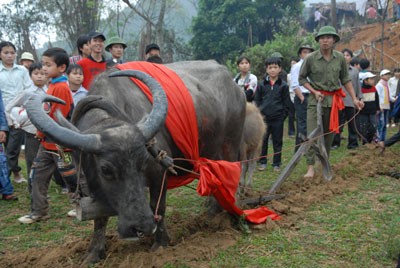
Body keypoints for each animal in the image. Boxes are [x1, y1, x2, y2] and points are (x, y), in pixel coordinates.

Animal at [24, 59, 247, 262]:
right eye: (106, 169)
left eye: (143, 162)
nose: (141, 226)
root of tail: (235, 86)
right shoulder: (92, 184)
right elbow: (99, 218)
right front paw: (94, 253)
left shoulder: (158, 173)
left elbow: (158, 205)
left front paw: (160, 243)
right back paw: (212, 208)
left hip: (231, 144)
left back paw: (225, 212)